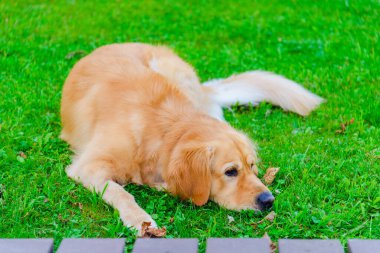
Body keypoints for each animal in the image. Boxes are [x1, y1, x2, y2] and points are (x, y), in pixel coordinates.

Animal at [60, 42, 324, 234]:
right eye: (230, 172)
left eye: (251, 166)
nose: (268, 200)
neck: (162, 128)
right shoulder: (88, 166)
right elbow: (121, 192)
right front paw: (140, 219)